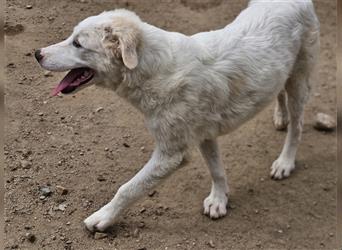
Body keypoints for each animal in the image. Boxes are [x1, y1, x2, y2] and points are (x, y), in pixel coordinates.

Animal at [34, 0, 318, 232]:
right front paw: (219, 200)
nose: (37, 54)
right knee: (278, 91)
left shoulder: (171, 154)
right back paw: (280, 117)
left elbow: (128, 188)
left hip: (299, 79)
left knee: (297, 127)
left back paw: (285, 161)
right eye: (71, 37)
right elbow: (216, 169)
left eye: (77, 44)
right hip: (282, 74)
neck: (154, 71)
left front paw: (103, 217)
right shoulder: (205, 134)